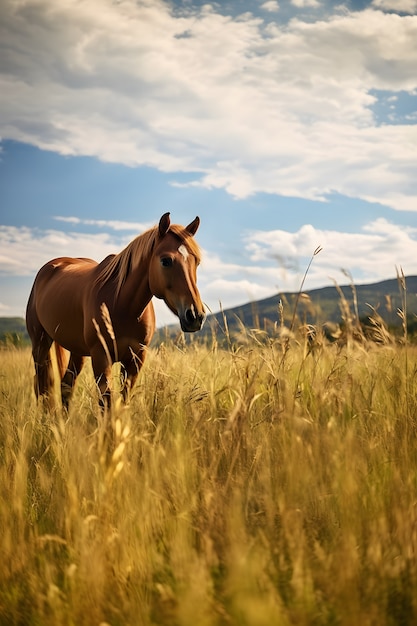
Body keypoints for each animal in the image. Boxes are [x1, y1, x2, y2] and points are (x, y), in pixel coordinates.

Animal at [26, 213, 205, 410]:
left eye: (196, 261)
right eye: (166, 261)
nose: (195, 316)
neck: (123, 305)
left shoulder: (135, 359)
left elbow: (124, 400)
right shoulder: (101, 357)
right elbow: (107, 403)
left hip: (76, 351)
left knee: (65, 386)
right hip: (40, 344)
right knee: (42, 387)